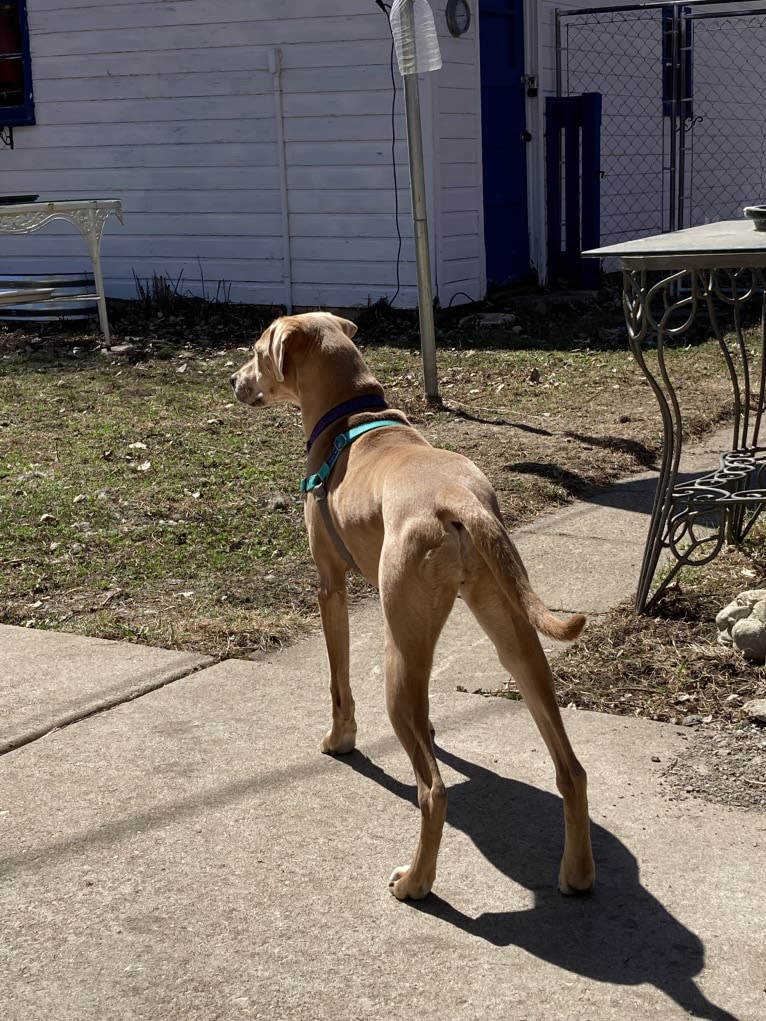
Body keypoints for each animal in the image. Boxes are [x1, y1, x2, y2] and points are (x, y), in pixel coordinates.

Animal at [230, 310, 596, 902]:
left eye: (259, 352)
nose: (232, 380)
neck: (352, 416)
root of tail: (460, 500)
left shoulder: (330, 587)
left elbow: (337, 683)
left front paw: (339, 739)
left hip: (398, 656)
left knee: (434, 789)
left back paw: (416, 881)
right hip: (514, 638)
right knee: (571, 768)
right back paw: (578, 872)